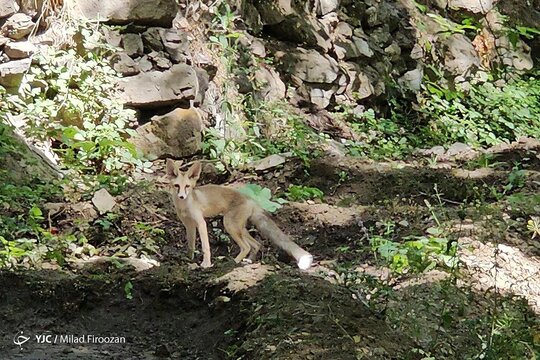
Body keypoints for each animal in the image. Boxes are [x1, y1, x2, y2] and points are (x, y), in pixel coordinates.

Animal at [167, 158, 314, 270]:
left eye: (187, 186)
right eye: (176, 186)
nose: (181, 196)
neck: (185, 207)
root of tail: (251, 199)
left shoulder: (201, 222)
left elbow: (205, 247)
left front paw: (206, 264)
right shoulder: (189, 225)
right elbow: (190, 246)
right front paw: (188, 259)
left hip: (229, 224)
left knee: (247, 247)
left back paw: (234, 262)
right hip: (239, 228)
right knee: (256, 244)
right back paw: (248, 261)